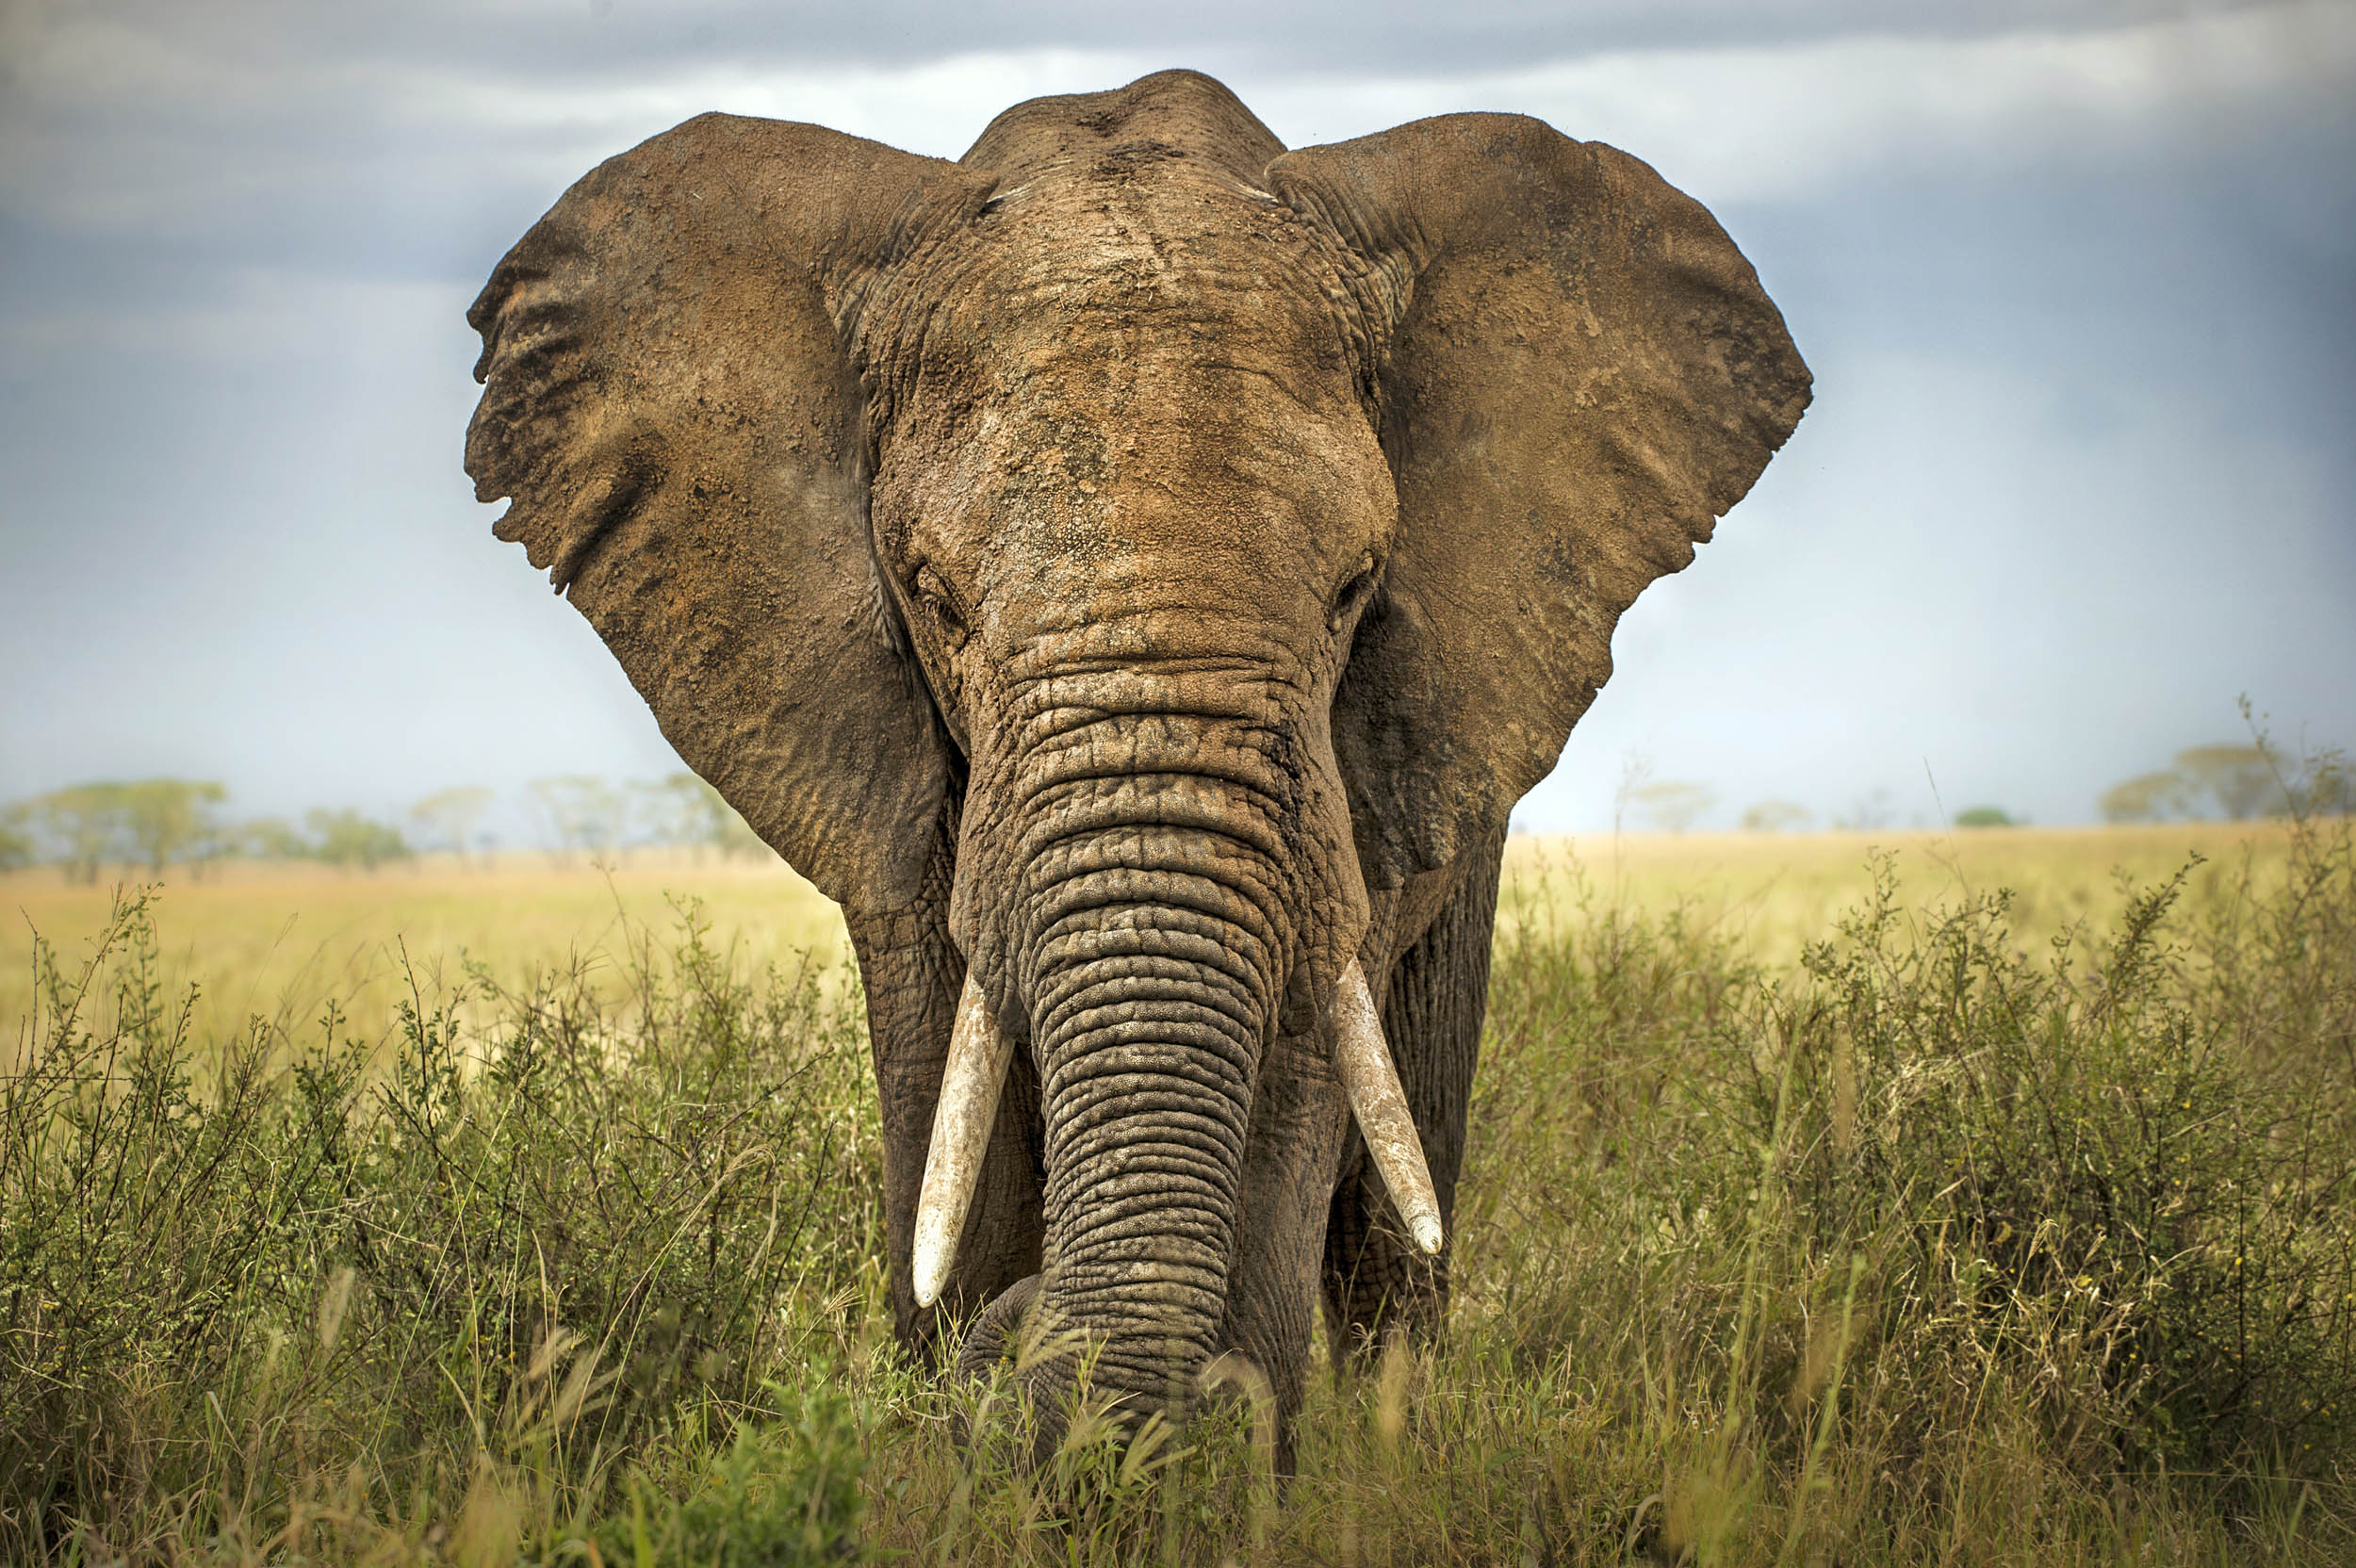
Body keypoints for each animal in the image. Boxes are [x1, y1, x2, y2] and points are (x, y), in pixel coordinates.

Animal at [465, 68, 1808, 1457]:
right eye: (935, 599)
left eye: (1355, 589)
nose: (1027, 1336)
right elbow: (948, 1096)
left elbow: (1297, 1070)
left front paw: (1210, 1454)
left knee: (1398, 1209)